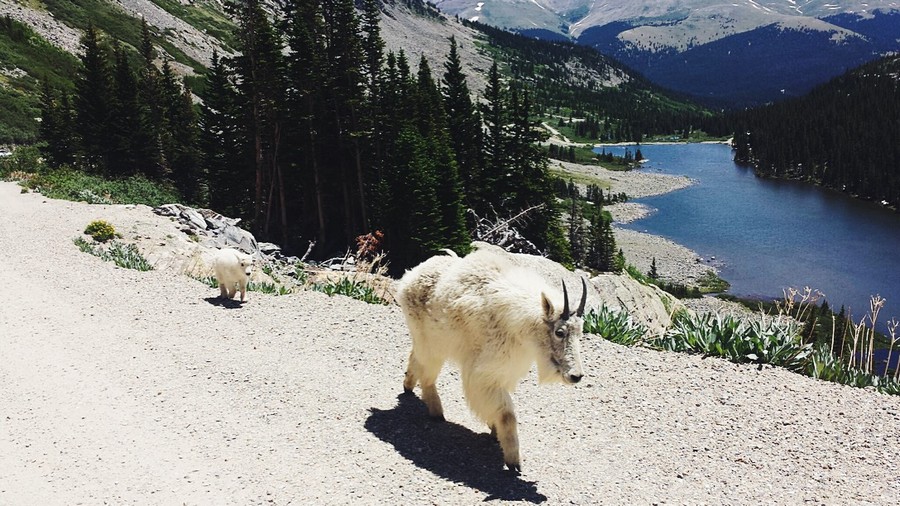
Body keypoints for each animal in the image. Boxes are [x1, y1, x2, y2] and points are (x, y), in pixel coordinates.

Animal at [394, 243, 584, 472]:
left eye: (580, 332)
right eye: (559, 332)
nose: (576, 376)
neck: (520, 324)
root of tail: (410, 275)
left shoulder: (506, 370)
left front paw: (495, 432)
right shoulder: (484, 374)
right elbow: (507, 415)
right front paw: (513, 462)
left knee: (416, 358)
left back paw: (408, 386)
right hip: (431, 342)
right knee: (427, 372)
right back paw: (436, 411)